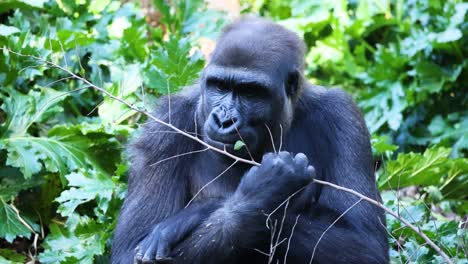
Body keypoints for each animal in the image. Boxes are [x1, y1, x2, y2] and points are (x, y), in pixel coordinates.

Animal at [111, 17, 390, 262]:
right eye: (219, 86)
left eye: (251, 92)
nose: (224, 120)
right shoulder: (165, 125)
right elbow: (128, 253)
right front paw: (262, 195)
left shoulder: (342, 115)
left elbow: (364, 244)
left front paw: (197, 213)